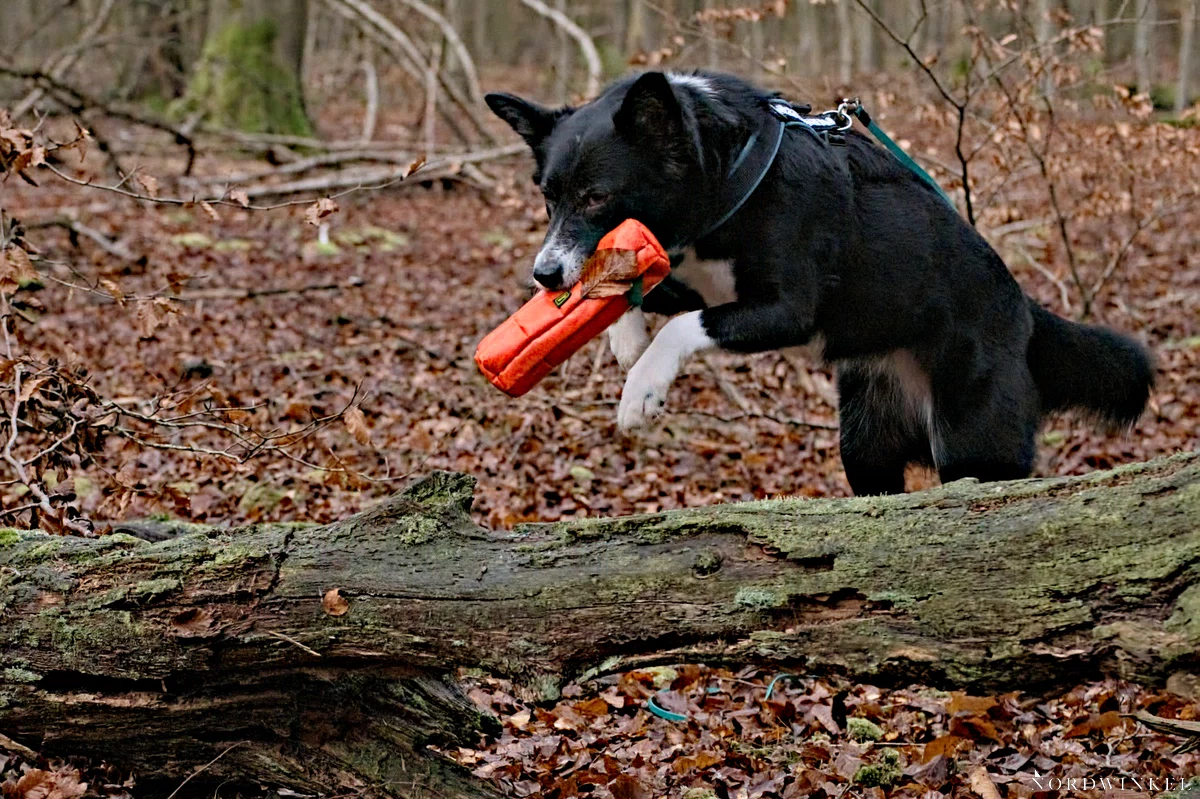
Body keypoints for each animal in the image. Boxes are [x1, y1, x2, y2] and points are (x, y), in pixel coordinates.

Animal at [482, 69, 1156, 491]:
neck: (733, 175)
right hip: (866, 442)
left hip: (974, 440)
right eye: (547, 197)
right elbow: (645, 288)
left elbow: (682, 326)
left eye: (598, 197)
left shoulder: (787, 309)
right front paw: (625, 337)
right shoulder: (696, 275)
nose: (545, 277)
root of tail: (1025, 315)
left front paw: (642, 387)